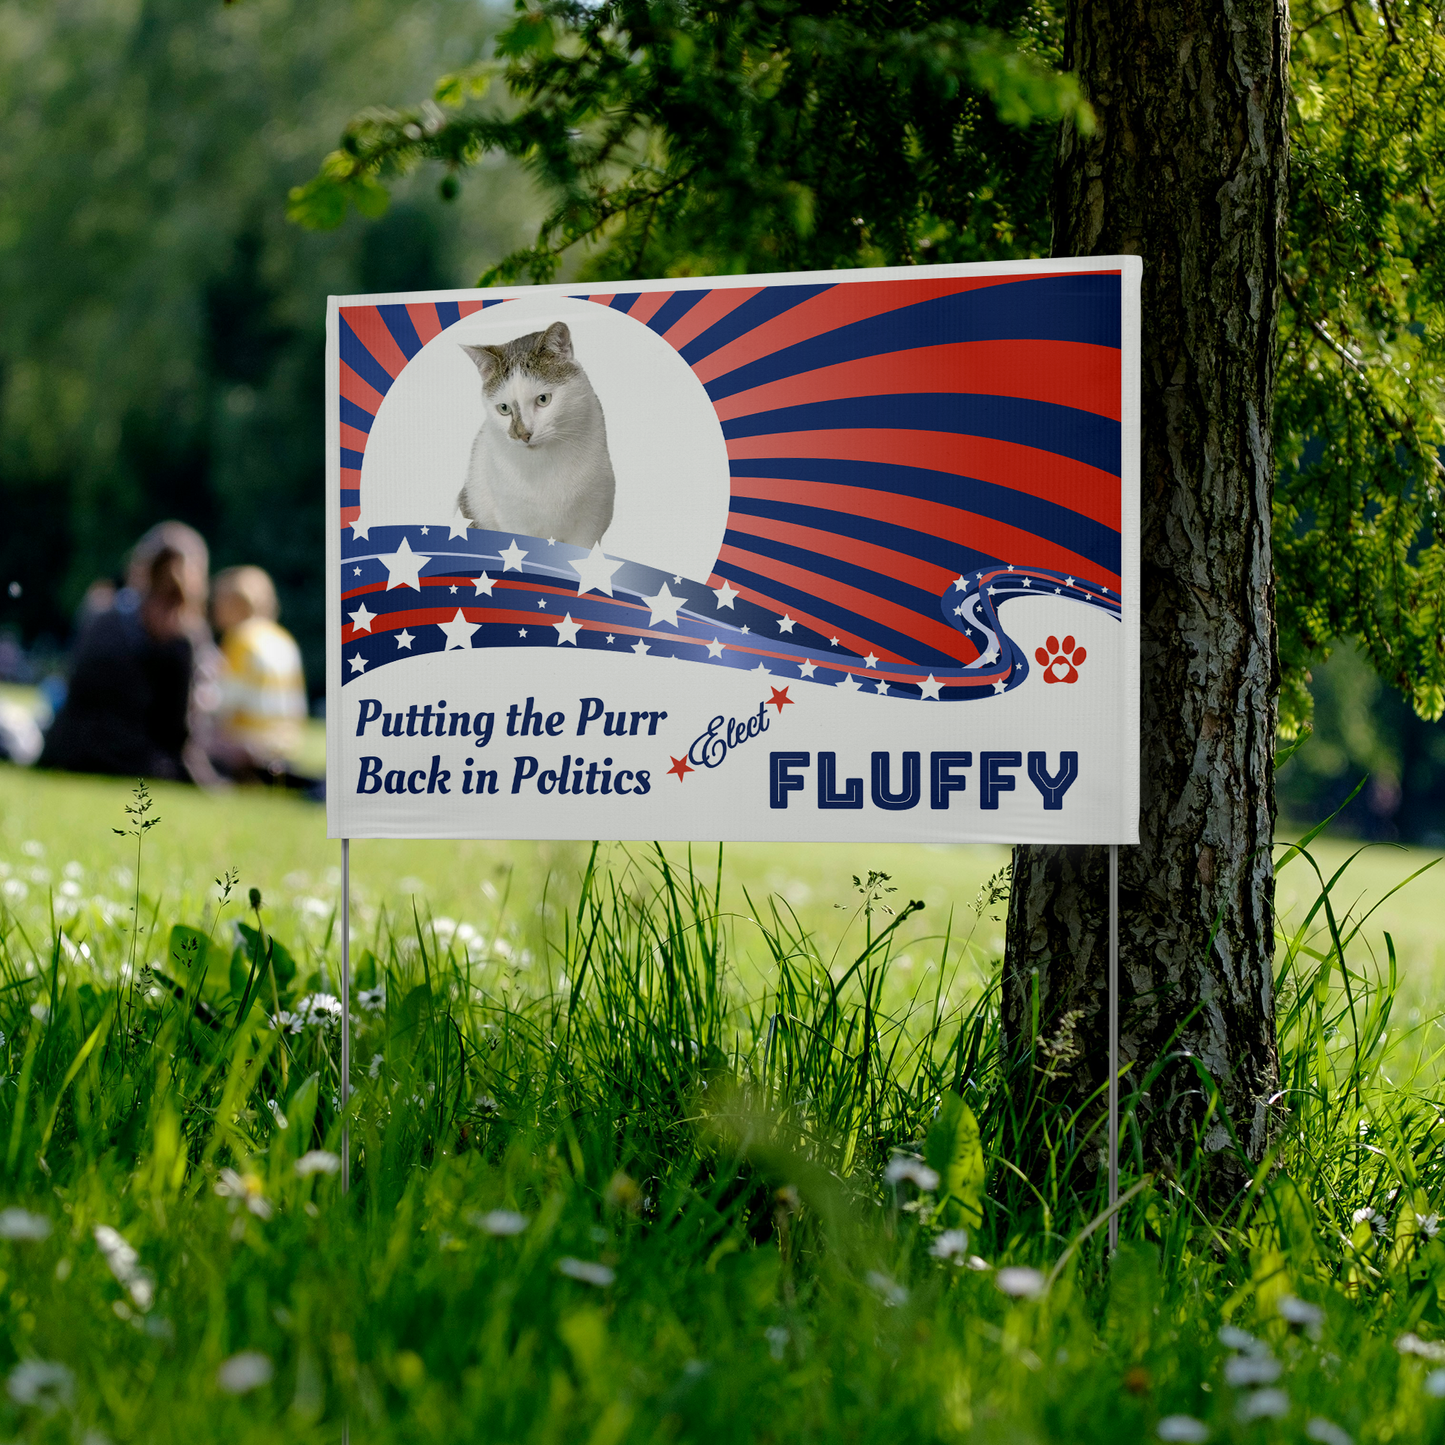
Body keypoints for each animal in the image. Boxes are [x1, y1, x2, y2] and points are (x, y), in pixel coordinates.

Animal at [456, 325, 615, 549]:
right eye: (504, 408)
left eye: (543, 399)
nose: (523, 434)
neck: (545, 463)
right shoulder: (513, 520)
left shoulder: (592, 519)